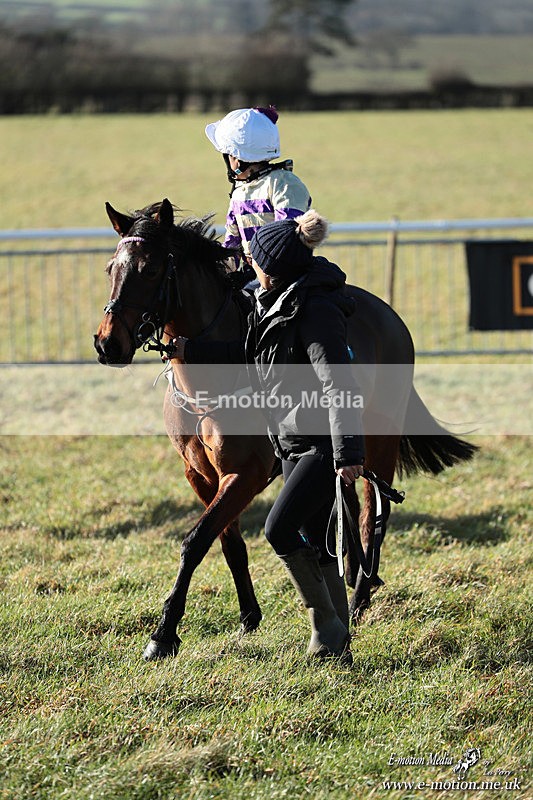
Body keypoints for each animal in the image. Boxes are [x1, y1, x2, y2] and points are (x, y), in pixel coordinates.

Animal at [94, 199, 476, 661]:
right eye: (111, 268)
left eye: (150, 269)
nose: (107, 344)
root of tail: (391, 317)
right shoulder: (200, 475)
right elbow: (229, 542)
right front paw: (248, 617)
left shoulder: (245, 474)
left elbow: (195, 541)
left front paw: (164, 634)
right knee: (341, 512)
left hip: (379, 442)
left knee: (373, 515)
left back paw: (360, 597)